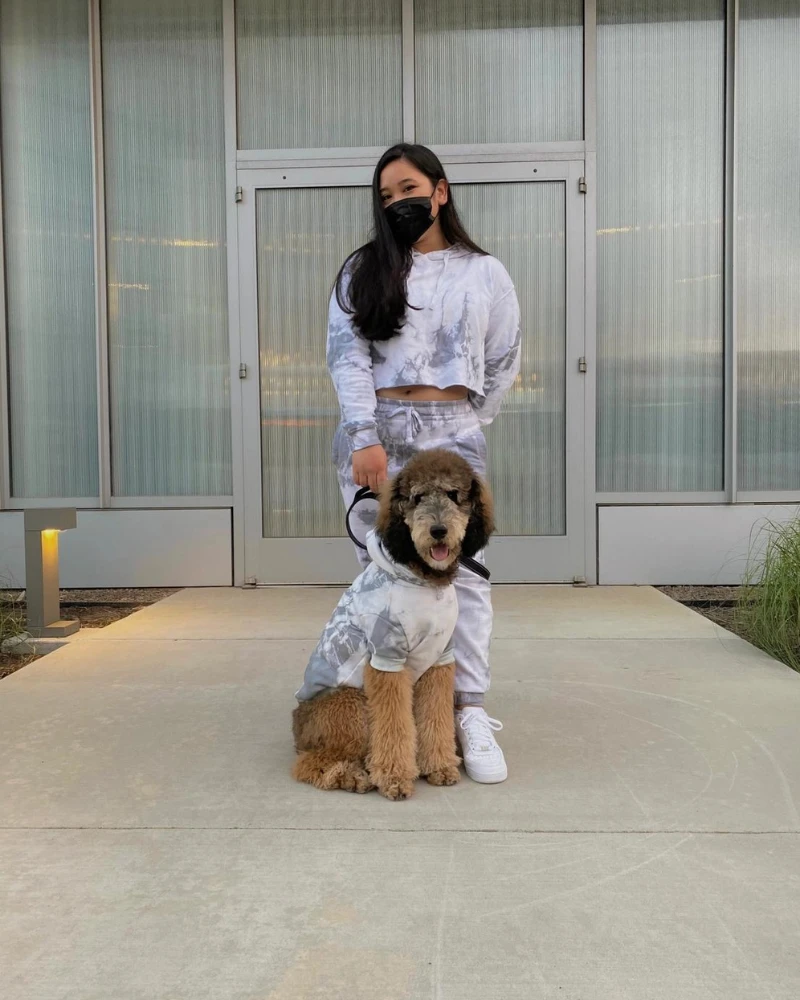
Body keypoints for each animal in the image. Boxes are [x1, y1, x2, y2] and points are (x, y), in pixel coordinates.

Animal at [292, 448, 494, 800]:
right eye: (417, 497)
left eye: (453, 495)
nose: (438, 530)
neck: (424, 579)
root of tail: (298, 725)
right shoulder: (387, 661)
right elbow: (393, 726)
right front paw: (394, 778)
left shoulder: (440, 659)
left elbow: (435, 717)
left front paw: (440, 766)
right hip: (351, 705)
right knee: (312, 761)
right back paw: (352, 776)